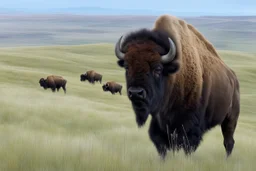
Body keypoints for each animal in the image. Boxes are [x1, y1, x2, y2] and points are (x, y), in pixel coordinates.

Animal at [114, 14, 240, 159]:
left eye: (157, 68)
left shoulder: (189, 126)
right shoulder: (160, 122)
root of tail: (233, 78)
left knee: (228, 141)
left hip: (230, 118)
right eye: (127, 67)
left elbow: (187, 144)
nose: (136, 92)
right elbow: (162, 143)